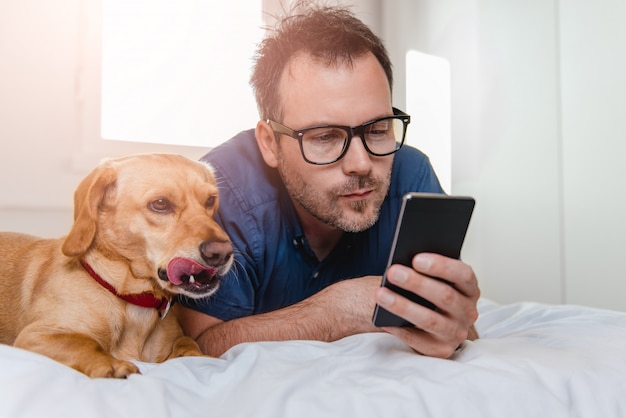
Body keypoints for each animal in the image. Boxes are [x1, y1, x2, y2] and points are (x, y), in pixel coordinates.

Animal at [0, 154, 233, 378]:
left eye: (210, 200)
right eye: (160, 204)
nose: (222, 253)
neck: (133, 299)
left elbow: (187, 341)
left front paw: (195, 356)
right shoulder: (35, 335)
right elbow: (84, 342)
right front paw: (111, 364)